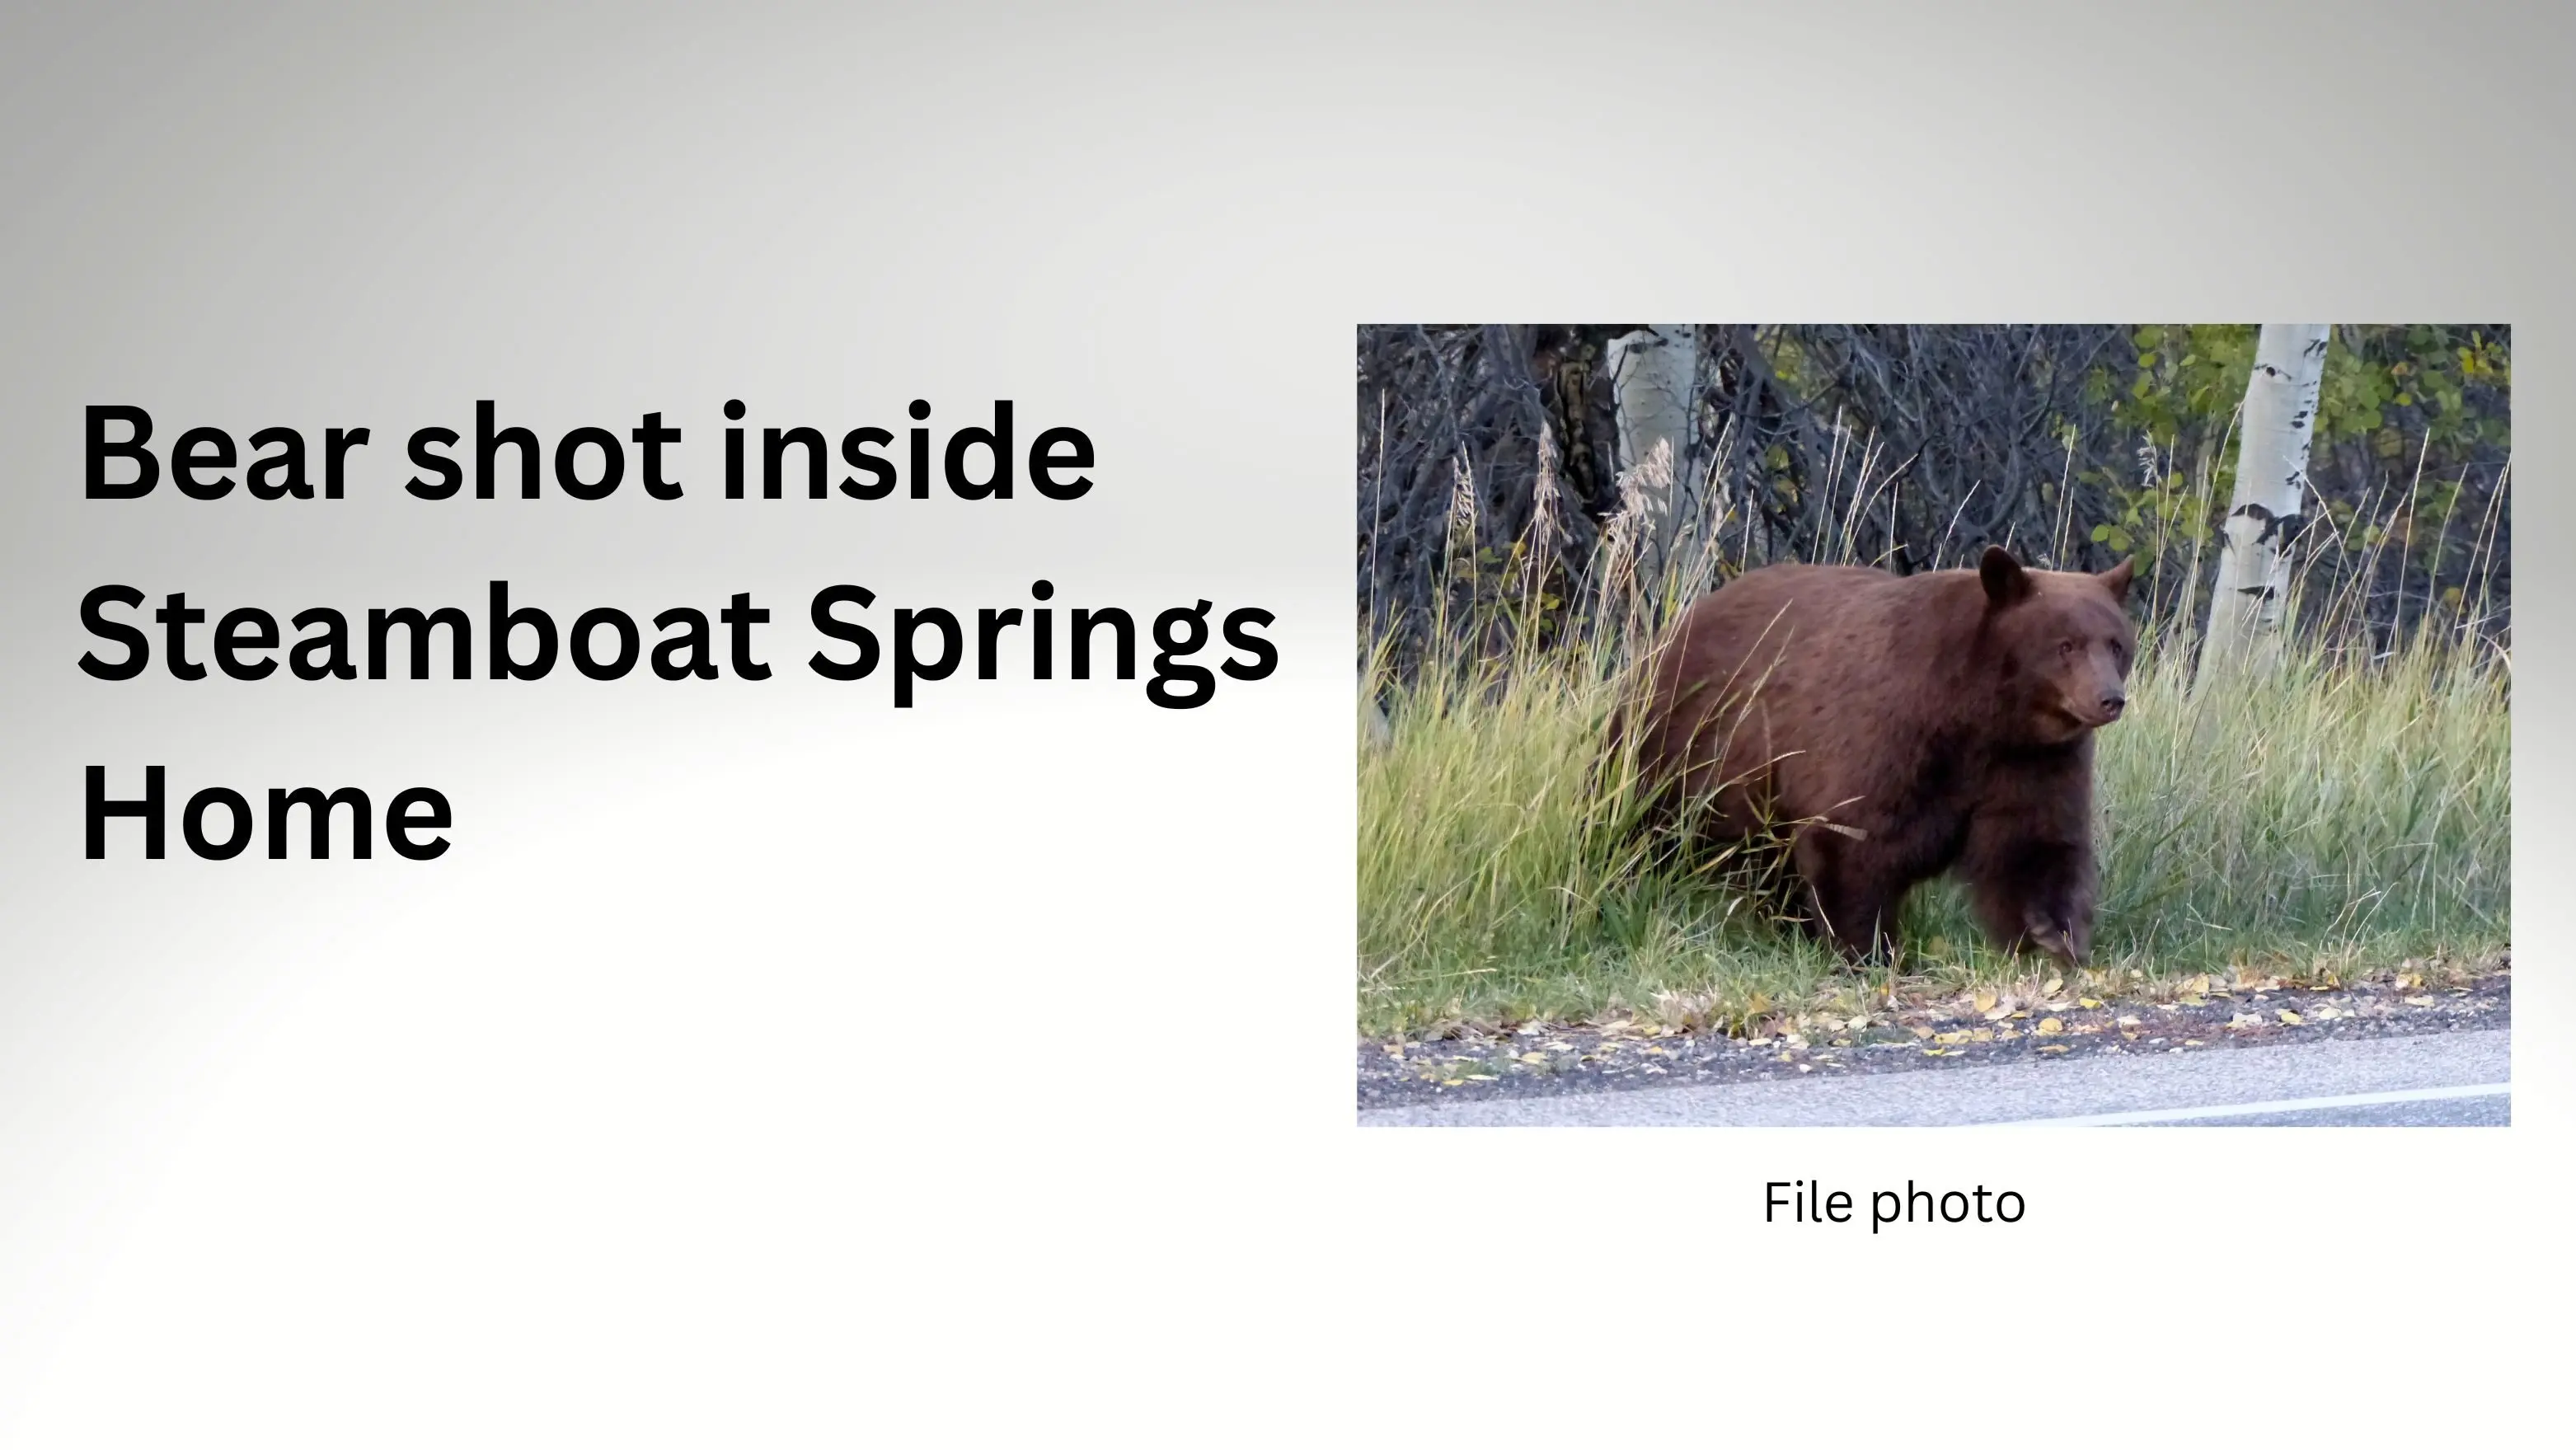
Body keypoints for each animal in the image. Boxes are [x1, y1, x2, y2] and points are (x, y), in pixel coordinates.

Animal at [1610, 546, 2136, 966]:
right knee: (1641, 826)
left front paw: (2053, 935)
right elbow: (1854, 840)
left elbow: (2033, 842)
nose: (2110, 699)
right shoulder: (1887, 733)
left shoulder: (2033, 759)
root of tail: (1674, 630)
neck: (1977, 713)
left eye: (2116, 644)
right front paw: (1866, 951)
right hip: (1681, 744)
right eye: (2064, 646)